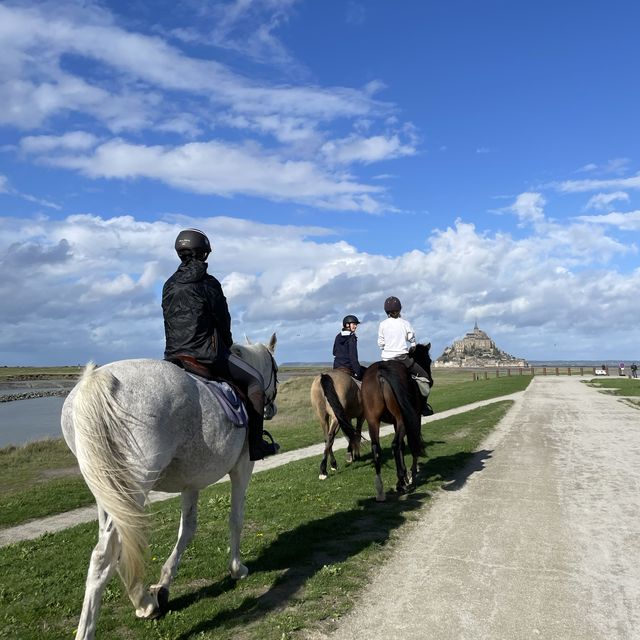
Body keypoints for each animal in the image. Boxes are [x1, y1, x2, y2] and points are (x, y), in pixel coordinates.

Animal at [60, 336, 278, 640]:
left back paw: (144, 602)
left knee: (117, 547)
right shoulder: (242, 469)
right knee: (105, 555)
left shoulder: (191, 483)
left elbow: (187, 530)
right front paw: (237, 568)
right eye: (276, 370)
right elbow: (235, 519)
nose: (272, 408)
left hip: (109, 493)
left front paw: (163, 584)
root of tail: (99, 379)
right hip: (132, 489)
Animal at [360, 342, 436, 502]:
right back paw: (400, 483)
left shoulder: (395, 422)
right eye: (428, 360)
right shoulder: (414, 417)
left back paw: (381, 490)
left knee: (376, 448)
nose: (431, 380)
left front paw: (406, 475)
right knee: (395, 445)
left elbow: (402, 446)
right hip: (402, 419)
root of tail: (381, 373)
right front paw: (411, 474)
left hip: (373, 421)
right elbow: (412, 444)